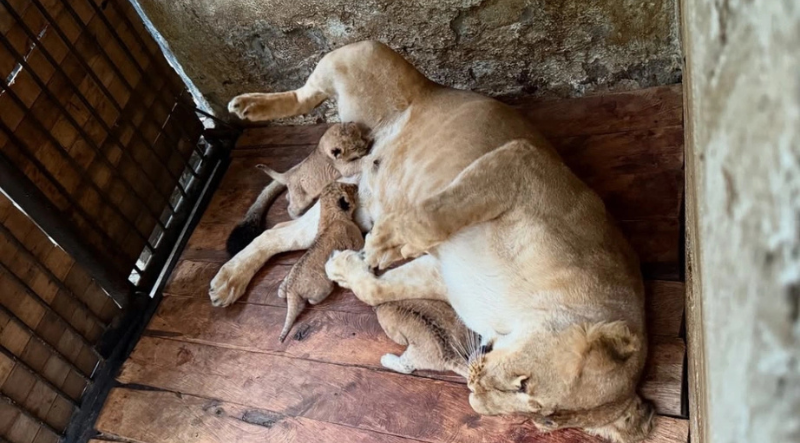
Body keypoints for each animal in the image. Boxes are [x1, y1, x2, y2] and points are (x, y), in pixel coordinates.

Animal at [214, 40, 651, 442]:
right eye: (524, 384)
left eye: (543, 418)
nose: (475, 396)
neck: (516, 315)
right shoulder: (520, 163)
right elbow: (434, 213)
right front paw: (385, 244)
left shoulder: (446, 276)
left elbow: (377, 289)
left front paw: (344, 265)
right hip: (362, 55)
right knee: (307, 92)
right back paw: (248, 105)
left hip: (347, 209)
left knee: (275, 233)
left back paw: (228, 282)